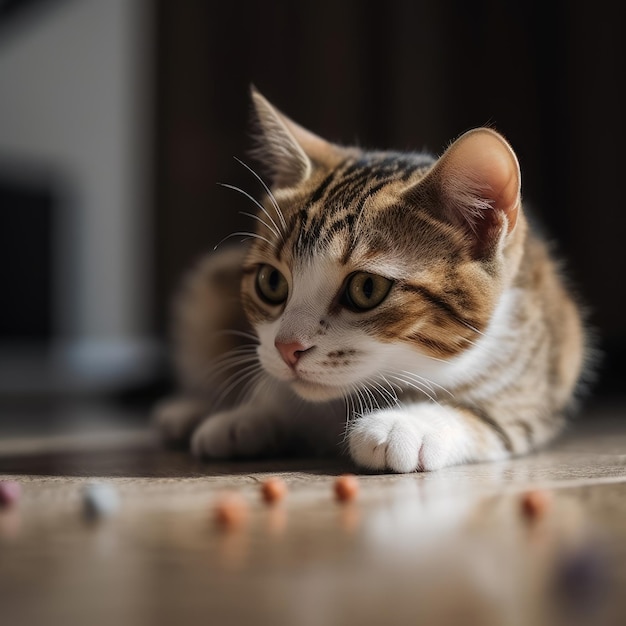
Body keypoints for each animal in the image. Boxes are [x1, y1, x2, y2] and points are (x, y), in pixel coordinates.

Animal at [152, 85, 588, 470]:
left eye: (366, 289)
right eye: (271, 283)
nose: (287, 348)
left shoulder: (538, 376)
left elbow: (499, 418)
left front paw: (407, 424)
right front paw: (247, 417)